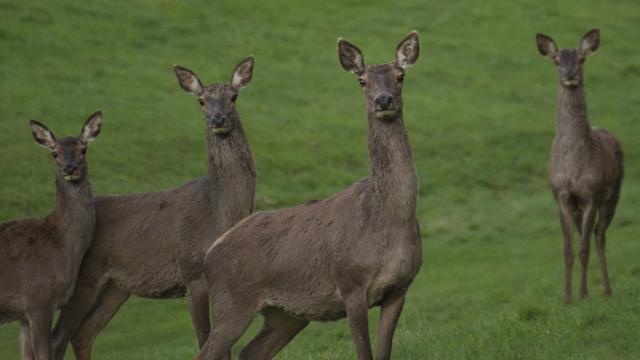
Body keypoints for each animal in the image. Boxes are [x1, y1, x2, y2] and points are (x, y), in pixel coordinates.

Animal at [51, 57, 258, 358]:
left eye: (233, 97)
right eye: (201, 101)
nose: (217, 119)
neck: (219, 210)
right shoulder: (192, 271)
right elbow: (205, 341)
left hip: (116, 287)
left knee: (83, 334)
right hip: (83, 278)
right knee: (58, 338)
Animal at [198, 31, 422, 360]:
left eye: (400, 76)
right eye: (362, 80)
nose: (384, 100)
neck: (387, 220)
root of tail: (210, 251)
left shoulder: (400, 290)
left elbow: (383, 353)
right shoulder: (351, 287)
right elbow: (364, 352)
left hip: (285, 314)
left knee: (251, 352)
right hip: (230, 301)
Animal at [536, 28, 624, 304]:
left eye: (582, 59)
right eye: (556, 61)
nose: (570, 74)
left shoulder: (591, 195)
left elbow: (584, 248)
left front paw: (583, 293)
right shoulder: (562, 197)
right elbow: (568, 249)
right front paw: (566, 296)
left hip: (613, 196)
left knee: (600, 236)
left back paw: (607, 289)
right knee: (594, 234)